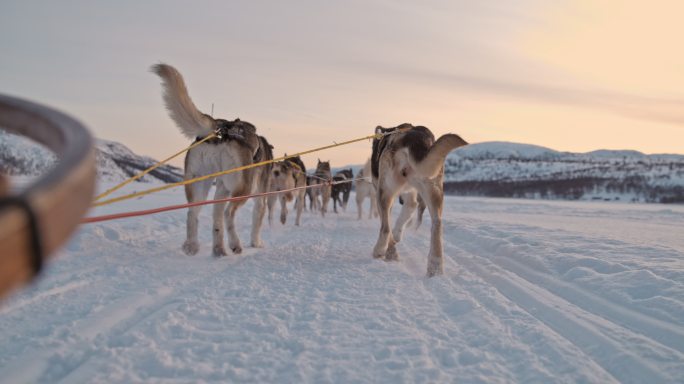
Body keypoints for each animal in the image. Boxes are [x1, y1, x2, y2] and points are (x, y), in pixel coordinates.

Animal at [152, 62, 272, 255]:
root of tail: (220, 129)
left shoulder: (221, 190)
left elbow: (216, 221)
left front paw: (217, 248)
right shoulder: (260, 198)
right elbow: (256, 223)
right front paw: (256, 243)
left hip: (199, 184)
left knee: (193, 214)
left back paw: (194, 245)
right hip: (244, 188)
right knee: (228, 214)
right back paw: (234, 243)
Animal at [372, 123, 468, 276]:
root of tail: (413, 137)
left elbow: (389, 226)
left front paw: (391, 251)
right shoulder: (411, 196)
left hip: (384, 193)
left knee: (386, 228)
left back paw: (380, 250)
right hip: (433, 189)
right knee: (437, 224)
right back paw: (435, 267)